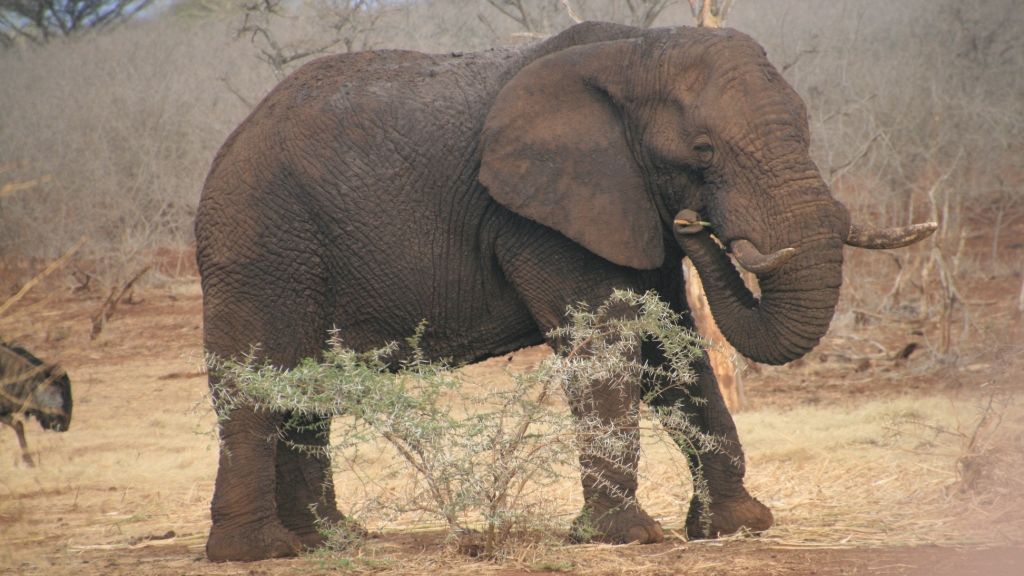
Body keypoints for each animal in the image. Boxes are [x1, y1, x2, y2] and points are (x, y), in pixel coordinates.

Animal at [195, 21, 935, 562]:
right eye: (702, 152)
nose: (693, 221)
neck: (638, 51)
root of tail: (231, 140)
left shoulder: (625, 206)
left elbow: (671, 350)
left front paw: (740, 526)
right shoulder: (543, 216)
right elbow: (607, 343)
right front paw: (628, 539)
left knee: (305, 394)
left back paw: (331, 542)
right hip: (262, 244)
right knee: (257, 386)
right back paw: (259, 553)